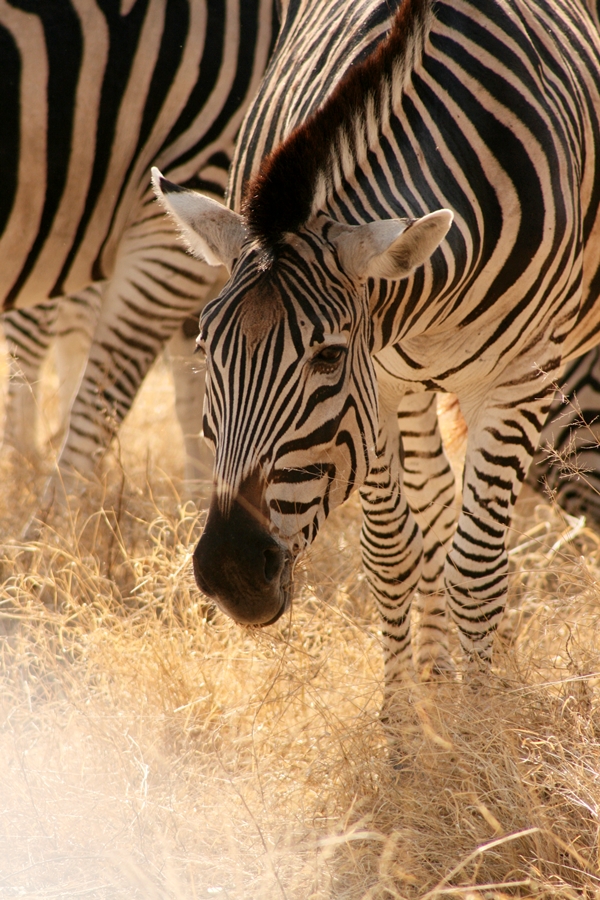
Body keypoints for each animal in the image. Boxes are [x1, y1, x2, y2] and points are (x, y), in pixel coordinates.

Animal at [153, 0, 600, 700]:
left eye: (328, 358)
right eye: (205, 349)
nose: (231, 574)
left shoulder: (520, 377)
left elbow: (477, 572)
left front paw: (479, 721)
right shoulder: (380, 388)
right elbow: (394, 555)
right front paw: (404, 721)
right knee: (433, 513)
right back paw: (435, 673)